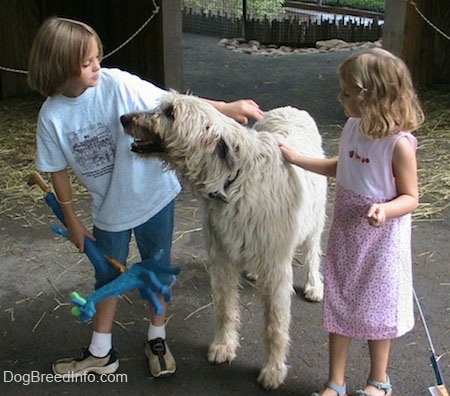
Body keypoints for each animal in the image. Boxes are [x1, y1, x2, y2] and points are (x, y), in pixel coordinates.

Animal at [119, 93, 326, 390]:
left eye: (171, 113)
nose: (123, 118)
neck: (234, 181)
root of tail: (291, 108)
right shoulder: (221, 257)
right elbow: (224, 306)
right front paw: (223, 345)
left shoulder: (276, 267)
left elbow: (275, 323)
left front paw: (273, 369)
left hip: (315, 218)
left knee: (312, 252)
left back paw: (313, 284)